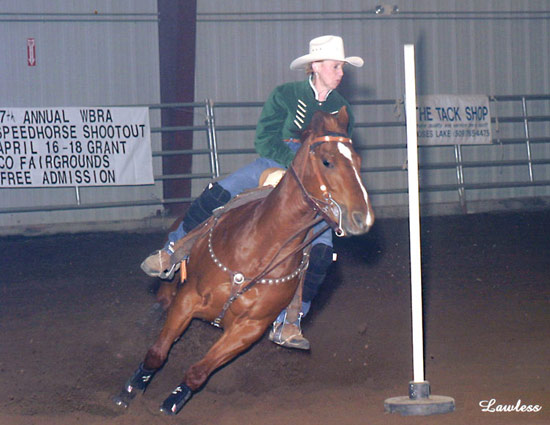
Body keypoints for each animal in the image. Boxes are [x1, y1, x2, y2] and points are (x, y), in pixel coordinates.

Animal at [114, 106, 378, 414]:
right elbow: (157, 353)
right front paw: (131, 391)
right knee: (164, 296)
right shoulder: (187, 300)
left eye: (358, 161)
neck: (258, 249)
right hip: (172, 284)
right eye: (327, 161)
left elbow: (199, 372)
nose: (363, 218)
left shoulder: (249, 329)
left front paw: (173, 402)